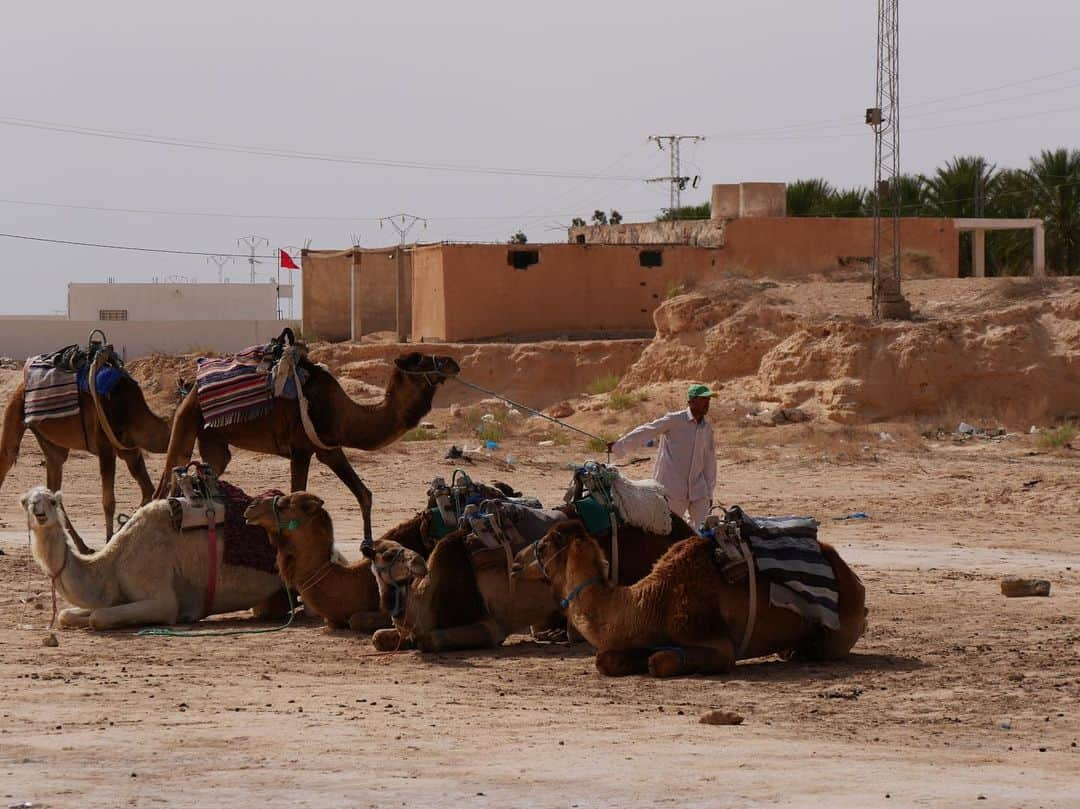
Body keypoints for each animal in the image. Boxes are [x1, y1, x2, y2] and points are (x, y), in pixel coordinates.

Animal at [2, 369, 171, 546]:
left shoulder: (130, 451)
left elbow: (148, 491)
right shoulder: (105, 446)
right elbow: (109, 501)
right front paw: (109, 539)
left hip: (51, 444)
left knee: (54, 484)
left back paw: (82, 546)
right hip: (15, 410)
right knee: (7, 458)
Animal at [25, 486, 287, 630]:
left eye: (52, 501)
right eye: (26, 501)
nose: (39, 513)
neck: (113, 563)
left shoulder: (159, 594)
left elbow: (99, 617)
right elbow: (66, 615)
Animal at [154, 349, 457, 540]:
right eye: (418, 360)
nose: (451, 362)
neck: (342, 414)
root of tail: (188, 386)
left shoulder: (328, 449)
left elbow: (364, 494)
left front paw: (368, 547)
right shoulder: (300, 450)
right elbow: (294, 494)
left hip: (213, 440)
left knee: (207, 469)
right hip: (187, 418)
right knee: (167, 477)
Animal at [507, 518, 868, 673]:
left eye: (544, 545)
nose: (514, 563)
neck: (649, 603)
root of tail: (854, 580)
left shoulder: (716, 642)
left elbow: (661, 661)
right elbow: (605, 659)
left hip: (839, 631)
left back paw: (801, 652)